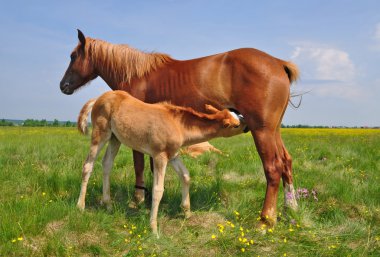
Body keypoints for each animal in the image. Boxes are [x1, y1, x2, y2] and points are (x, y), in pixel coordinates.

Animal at [77, 89, 243, 233]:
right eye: (236, 125)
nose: (245, 122)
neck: (178, 126)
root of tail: (98, 98)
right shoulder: (159, 156)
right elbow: (158, 189)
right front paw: (153, 228)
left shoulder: (174, 156)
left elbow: (185, 176)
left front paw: (187, 213)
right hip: (100, 134)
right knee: (88, 165)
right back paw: (80, 206)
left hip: (115, 138)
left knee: (107, 164)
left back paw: (108, 205)